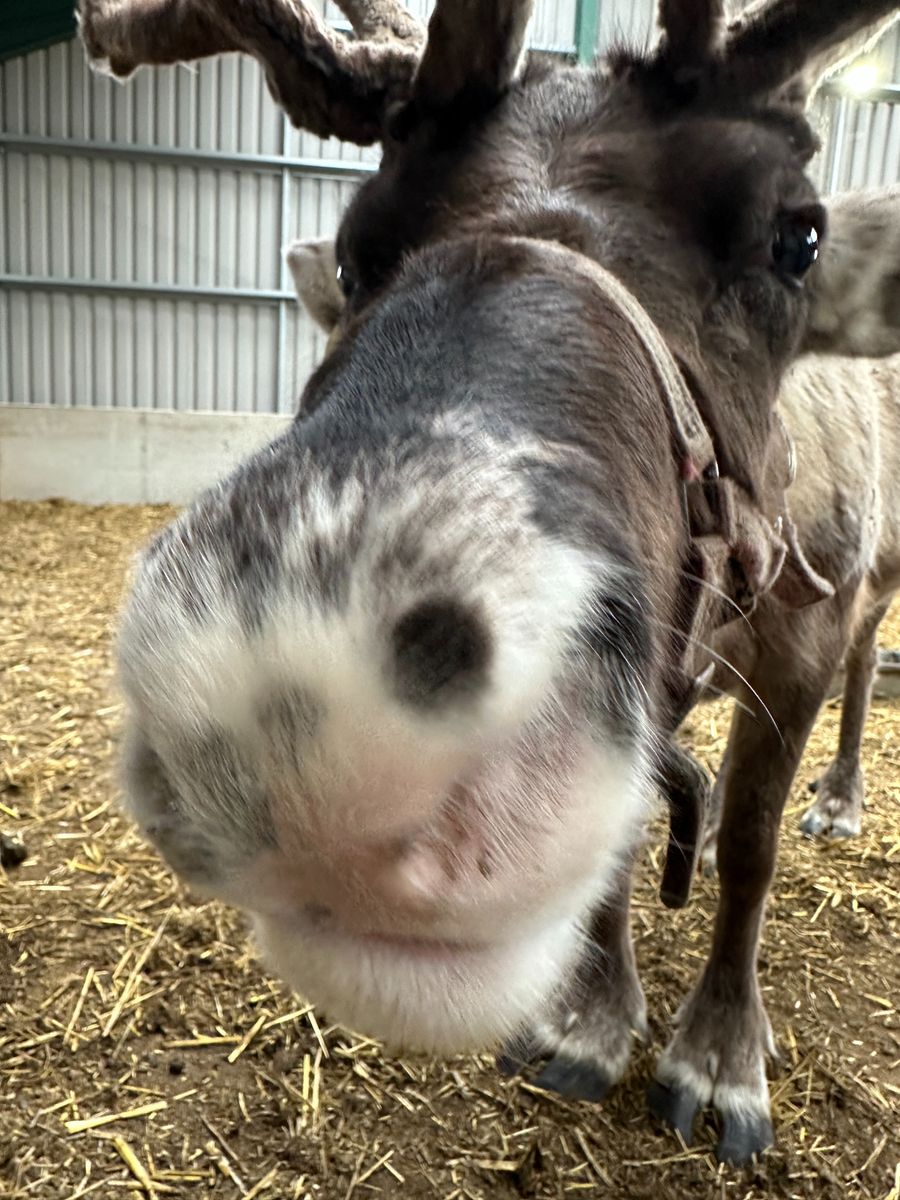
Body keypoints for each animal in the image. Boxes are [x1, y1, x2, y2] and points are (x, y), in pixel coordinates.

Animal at [79, 0, 900, 1166]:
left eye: (798, 236)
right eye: (357, 246)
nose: (298, 697)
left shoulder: (807, 627)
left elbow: (750, 845)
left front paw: (721, 1058)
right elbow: (631, 835)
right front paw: (593, 1020)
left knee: (869, 669)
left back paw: (839, 798)